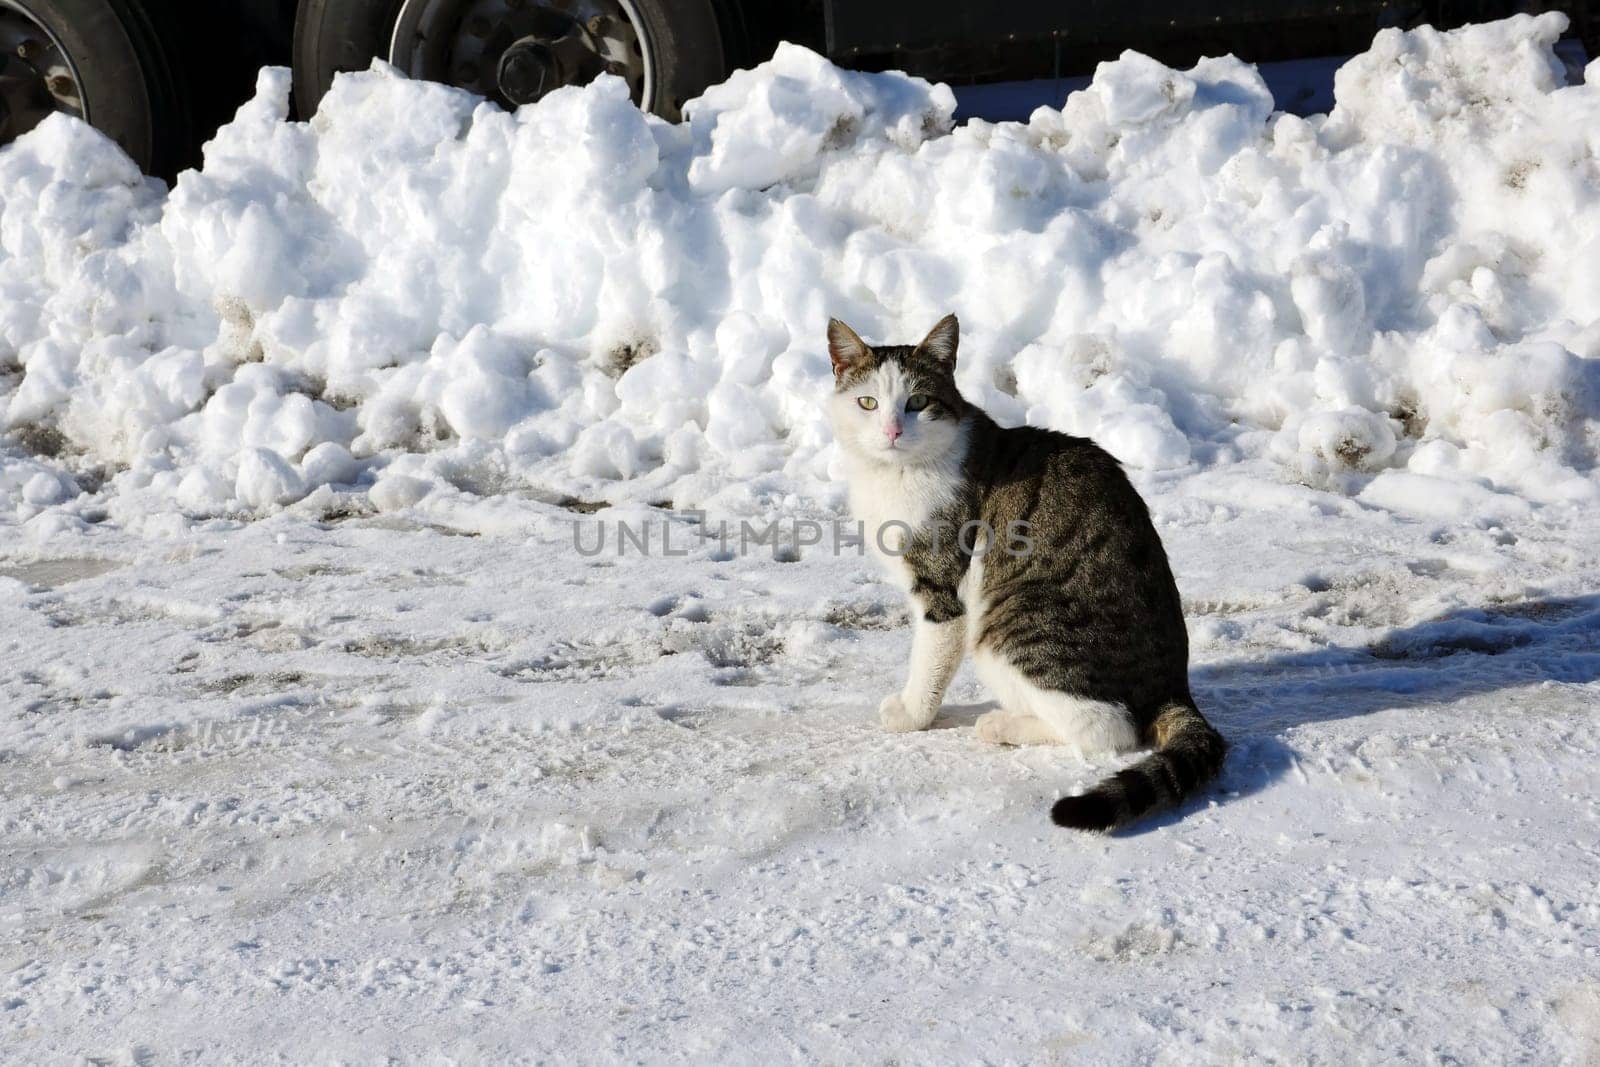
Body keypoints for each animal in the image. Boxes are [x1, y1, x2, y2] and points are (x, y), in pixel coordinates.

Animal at [825, 313, 1222, 831]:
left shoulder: (942, 590)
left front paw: (912, 715)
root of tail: (1174, 687)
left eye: (918, 403)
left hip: (1011, 623)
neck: (898, 474)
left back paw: (1002, 723)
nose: (892, 431)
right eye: (867, 402)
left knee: (1108, 728)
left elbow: (929, 661)